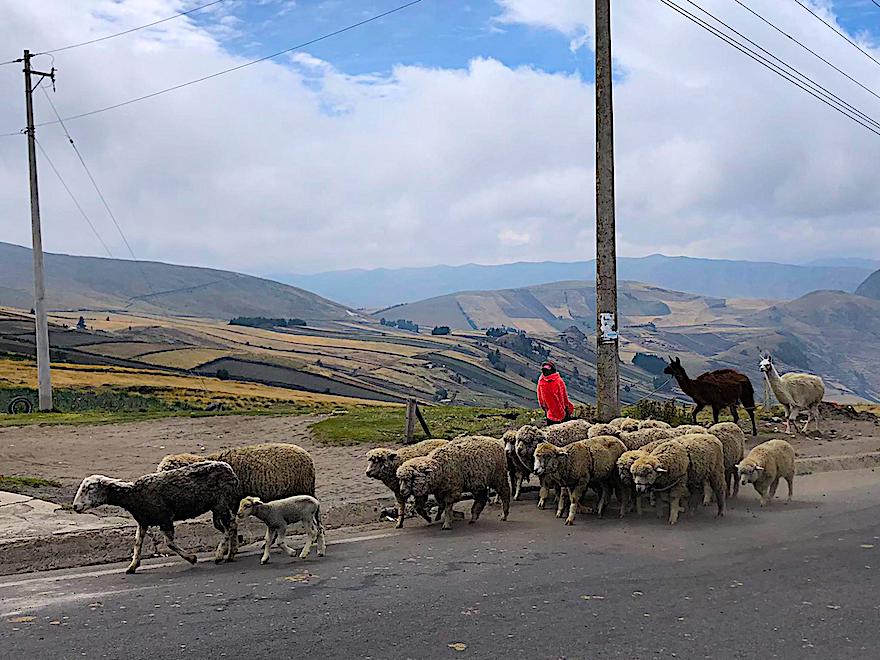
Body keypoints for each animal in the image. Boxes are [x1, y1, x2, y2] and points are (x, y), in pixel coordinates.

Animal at [73, 458, 241, 572]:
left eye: (91, 487)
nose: (75, 506)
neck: (133, 496)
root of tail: (230, 471)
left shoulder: (165, 518)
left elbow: (169, 543)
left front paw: (192, 558)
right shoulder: (143, 520)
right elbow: (137, 543)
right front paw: (132, 566)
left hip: (221, 503)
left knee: (231, 526)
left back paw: (220, 554)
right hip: (218, 507)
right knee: (230, 526)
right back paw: (231, 553)